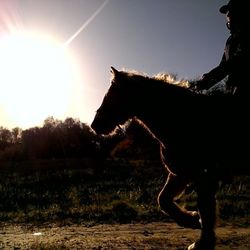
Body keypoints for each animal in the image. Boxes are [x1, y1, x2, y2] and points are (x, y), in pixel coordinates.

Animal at [91, 66, 249, 250]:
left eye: (113, 93)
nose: (95, 125)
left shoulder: (204, 176)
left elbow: (205, 207)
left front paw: (203, 241)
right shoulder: (180, 174)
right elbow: (164, 200)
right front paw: (192, 220)